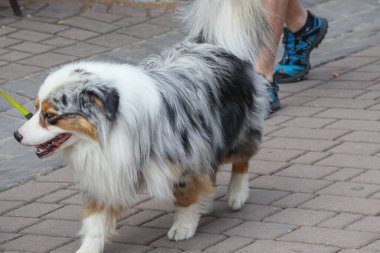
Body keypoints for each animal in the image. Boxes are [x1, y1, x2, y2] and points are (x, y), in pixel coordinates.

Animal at [14, 0, 270, 252]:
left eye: (49, 116)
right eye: (36, 108)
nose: (16, 135)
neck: (108, 132)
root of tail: (214, 44)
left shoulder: (184, 155)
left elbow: (184, 194)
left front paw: (183, 226)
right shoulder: (106, 172)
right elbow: (95, 221)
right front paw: (88, 247)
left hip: (233, 131)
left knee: (241, 160)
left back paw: (237, 194)